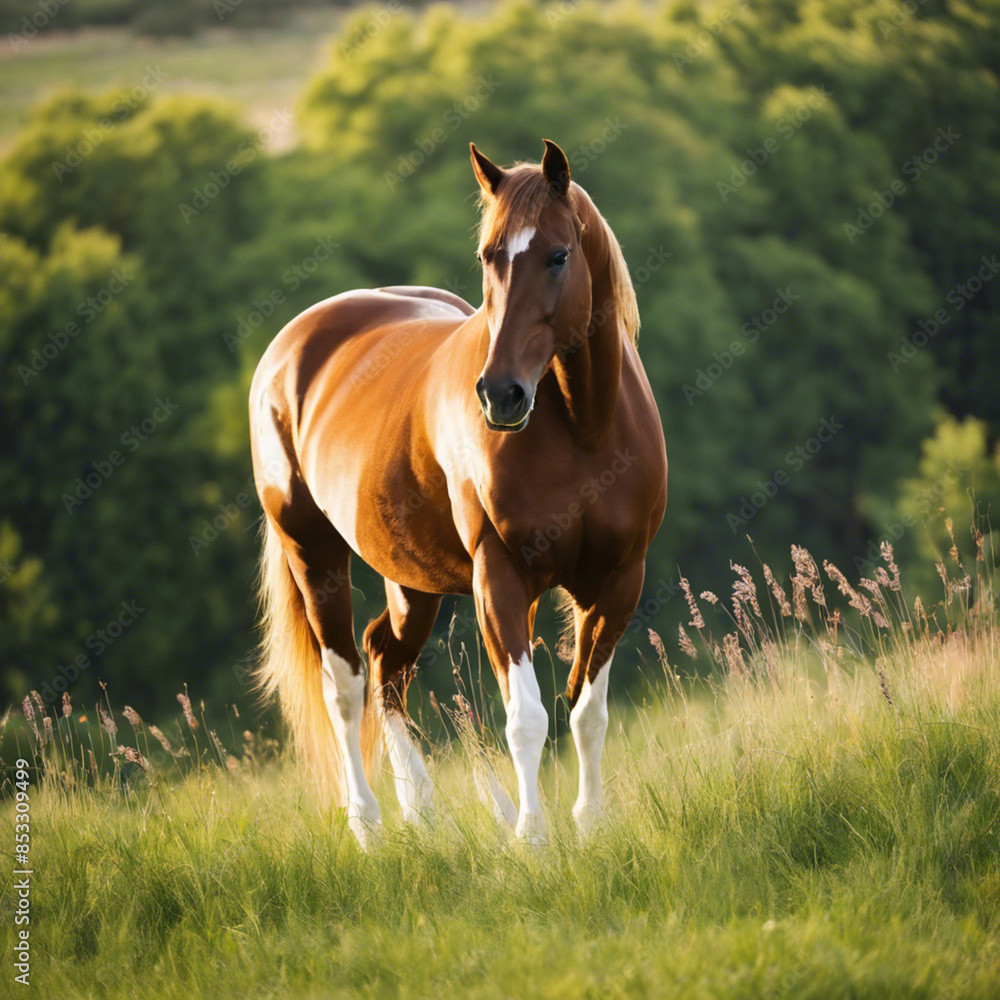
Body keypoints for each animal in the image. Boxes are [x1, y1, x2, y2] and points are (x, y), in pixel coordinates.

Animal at [249, 139, 667, 848]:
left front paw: (589, 827)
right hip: (313, 553)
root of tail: (292, 345)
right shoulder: (500, 578)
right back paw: (370, 827)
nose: (500, 395)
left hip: (408, 580)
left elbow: (587, 711)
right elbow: (527, 719)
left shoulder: (618, 581)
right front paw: (532, 838)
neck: (584, 426)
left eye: (559, 254)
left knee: (385, 663)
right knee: (345, 684)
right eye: (488, 255)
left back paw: (423, 811)